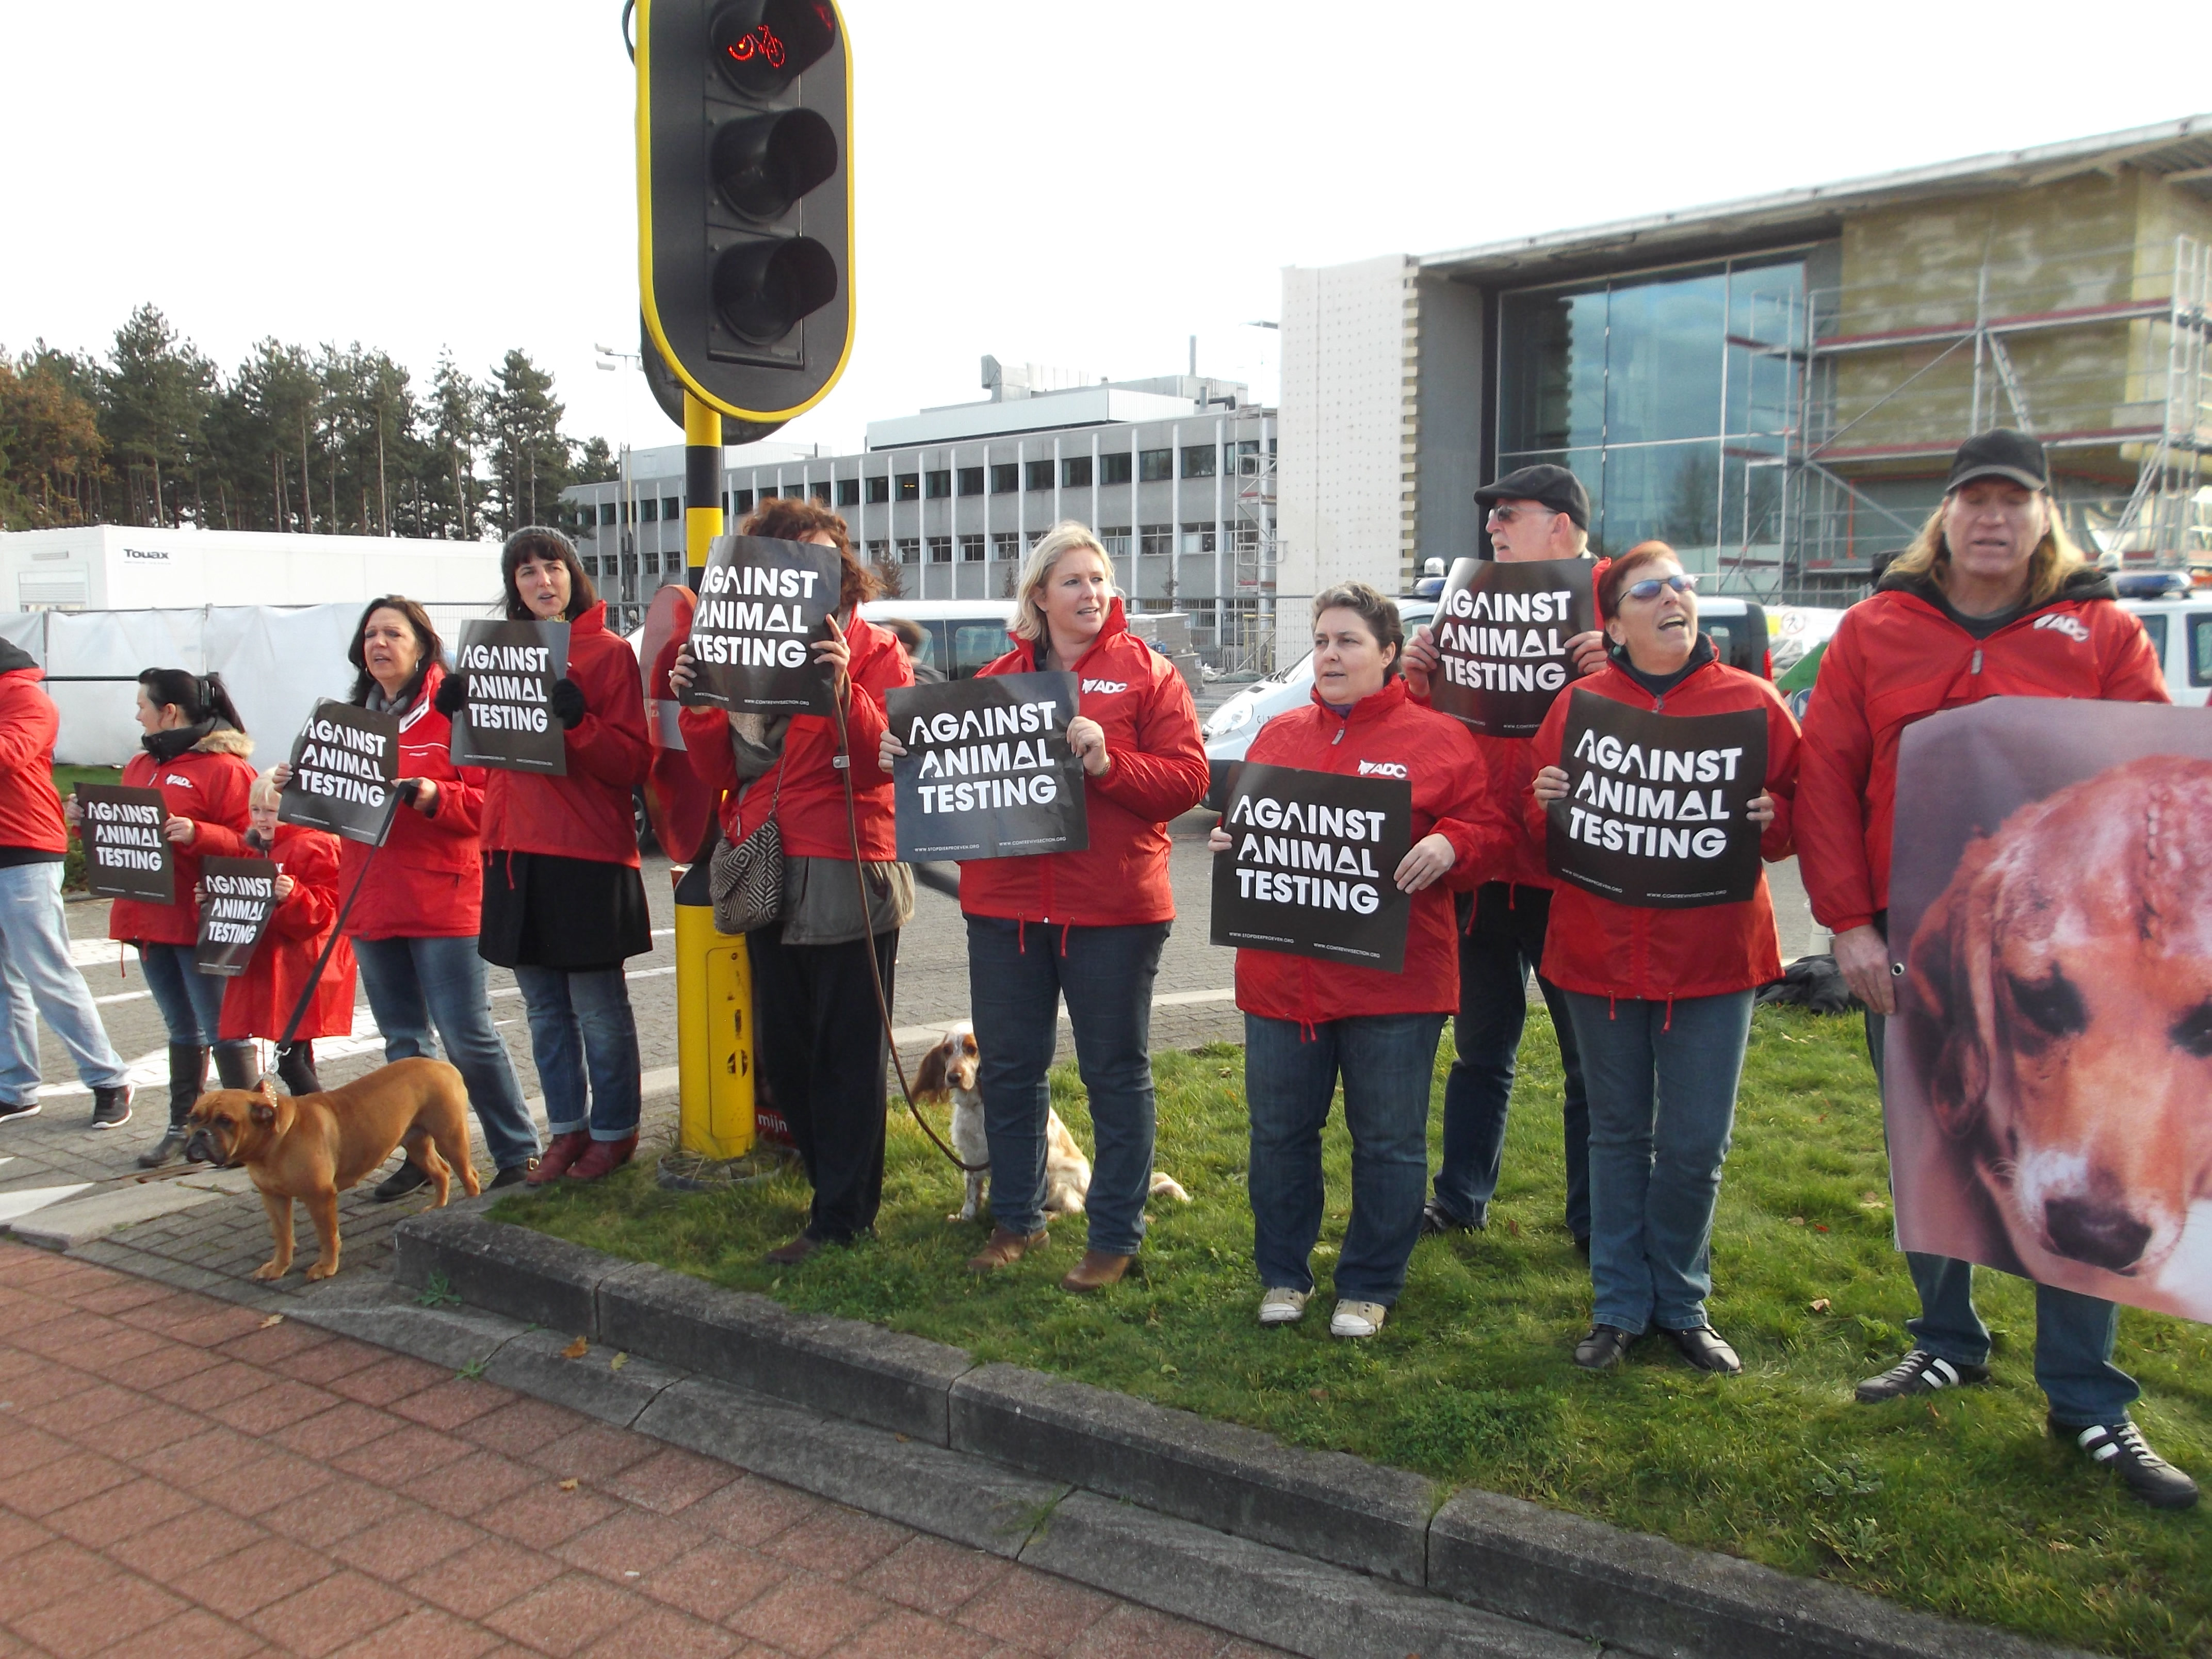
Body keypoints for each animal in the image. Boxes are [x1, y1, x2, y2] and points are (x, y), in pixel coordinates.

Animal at [183, 1056, 479, 1282]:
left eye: (225, 1121)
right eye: (193, 1118)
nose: (200, 1135)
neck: (272, 1143)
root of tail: (442, 1065)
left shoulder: (319, 1196)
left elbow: (327, 1235)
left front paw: (325, 1267)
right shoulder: (274, 1198)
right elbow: (283, 1235)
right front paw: (278, 1267)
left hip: (451, 1136)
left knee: (468, 1175)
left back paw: (469, 1204)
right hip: (417, 1143)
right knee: (440, 1171)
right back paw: (438, 1207)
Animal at [914, 1022, 1190, 1224]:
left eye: (972, 1049)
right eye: (948, 1050)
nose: (954, 1076)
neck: (976, 1106)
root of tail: (1089, 1188)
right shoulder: (970, 1158)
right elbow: (972, 1192)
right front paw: (965, 1217)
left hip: (1056, 1182)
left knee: (1074, 1209)